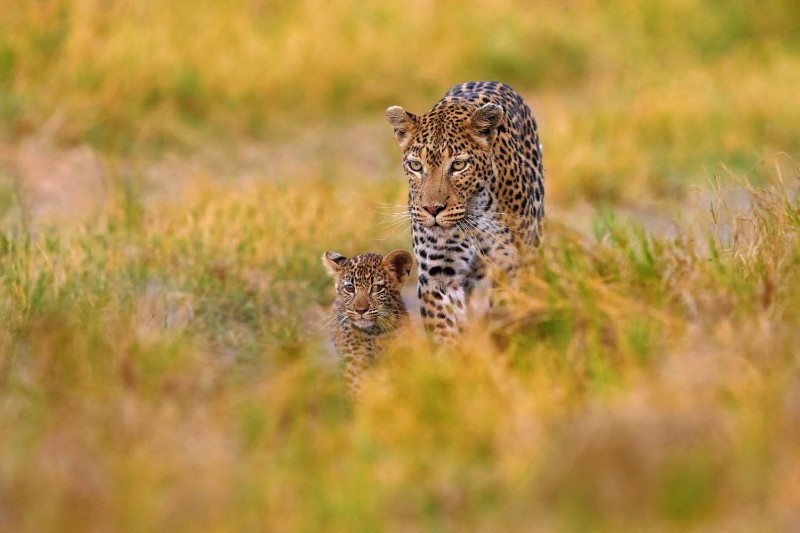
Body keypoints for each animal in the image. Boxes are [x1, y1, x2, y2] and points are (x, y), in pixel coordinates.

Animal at [386, 81, 544, 342]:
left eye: (459, 165)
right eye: (416, 166)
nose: (433, 209)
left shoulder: (510, 265)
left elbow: (506, 309)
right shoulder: (439, 274)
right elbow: (444, 327)